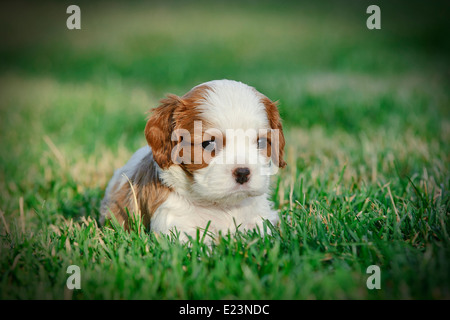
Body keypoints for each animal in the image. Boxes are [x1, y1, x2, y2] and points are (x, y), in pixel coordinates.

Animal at [100, 80, 286, 240]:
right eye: (208, 144)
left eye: (261, 142)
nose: (242, 172)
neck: (222, 206)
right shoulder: (176, 225)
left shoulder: (258, 219)